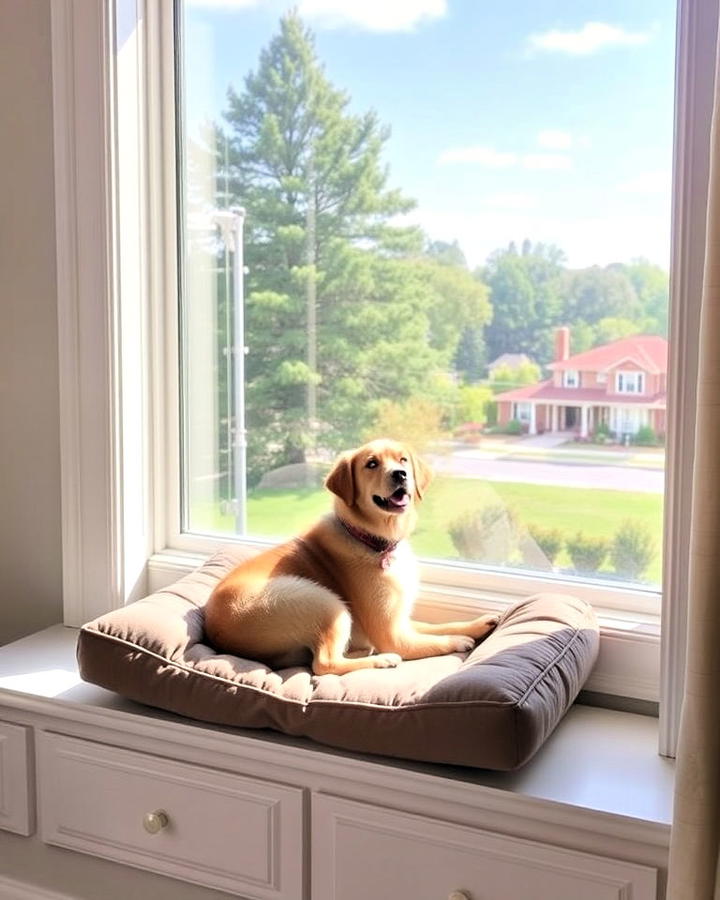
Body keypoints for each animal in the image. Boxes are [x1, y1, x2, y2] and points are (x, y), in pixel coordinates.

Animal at [202, 440, 496, 672]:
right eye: (372, 464)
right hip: (321, 601)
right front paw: (458, 640)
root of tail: (215, 631)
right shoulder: (390, 633)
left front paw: (477, 624)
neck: (372, 539)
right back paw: (381, 659)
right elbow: (426, 641)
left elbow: (439, 625)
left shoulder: (400, 618)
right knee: (324, 664)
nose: (400, 474)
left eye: (402, 459)